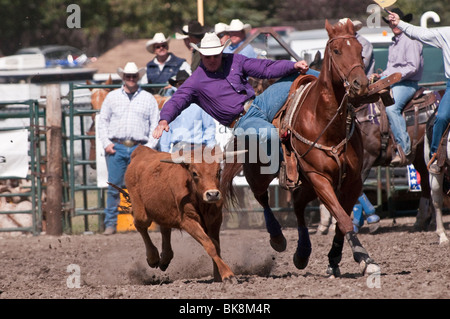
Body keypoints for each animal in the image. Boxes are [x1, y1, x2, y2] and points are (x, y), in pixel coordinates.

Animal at [221, 20, 380, 278]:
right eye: (337, 51)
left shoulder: (353, 180)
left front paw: (340, 259)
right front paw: (362, 257)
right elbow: (343, 219)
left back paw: (302, 253)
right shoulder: (319, 178)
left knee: (297, 205)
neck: (327, 123)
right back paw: (278, 238)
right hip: (262, 174)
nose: (361, 84)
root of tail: (244, 117)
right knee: (262, 198)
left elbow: (342, 220)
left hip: (305, 184)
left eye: (360, 50)